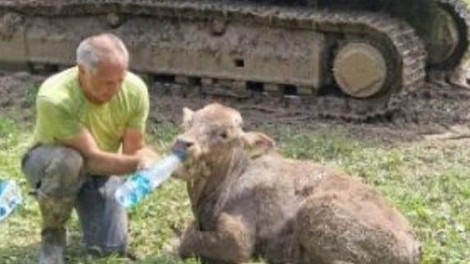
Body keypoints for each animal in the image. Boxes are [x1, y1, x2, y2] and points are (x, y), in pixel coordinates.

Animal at [171, 103, 420, 264]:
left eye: (224, 134)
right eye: (188, 123)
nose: (184, 143)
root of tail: (413, 247)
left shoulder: (238, 238)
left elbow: (188, 241)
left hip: (314, 211)